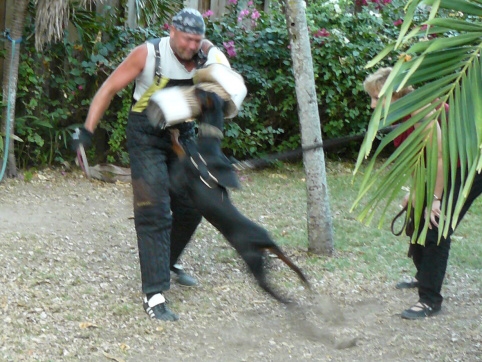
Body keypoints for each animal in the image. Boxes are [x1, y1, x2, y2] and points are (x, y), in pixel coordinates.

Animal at [171, 89, 310, 304]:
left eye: (203, 94)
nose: (195, 88)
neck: (209, 145)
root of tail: (260, 242)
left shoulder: (183, 170)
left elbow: (179, 150)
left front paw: (174, 135)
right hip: (271, 246)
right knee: (290, 262)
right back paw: (303, 280)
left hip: (253, 261)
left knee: (267, 286)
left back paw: (288, 300)